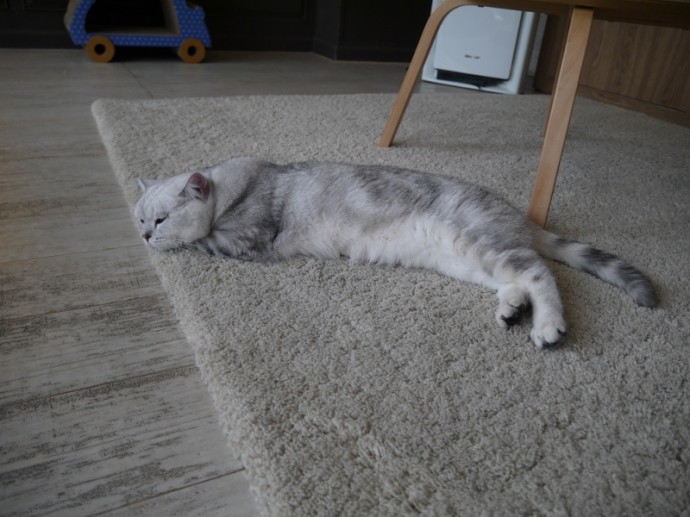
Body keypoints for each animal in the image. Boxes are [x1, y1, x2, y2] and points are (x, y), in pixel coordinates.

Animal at [134, 156, 656, 346]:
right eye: (139, 218)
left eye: (160, 219)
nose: (142, 236)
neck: (232, 186)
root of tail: (520, 216)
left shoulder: (245, 237)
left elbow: (201, 240)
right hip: (466, 260)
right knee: (516, 280)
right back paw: (510, 310)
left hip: (479, 243)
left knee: (540, 275)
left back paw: (548, 327)